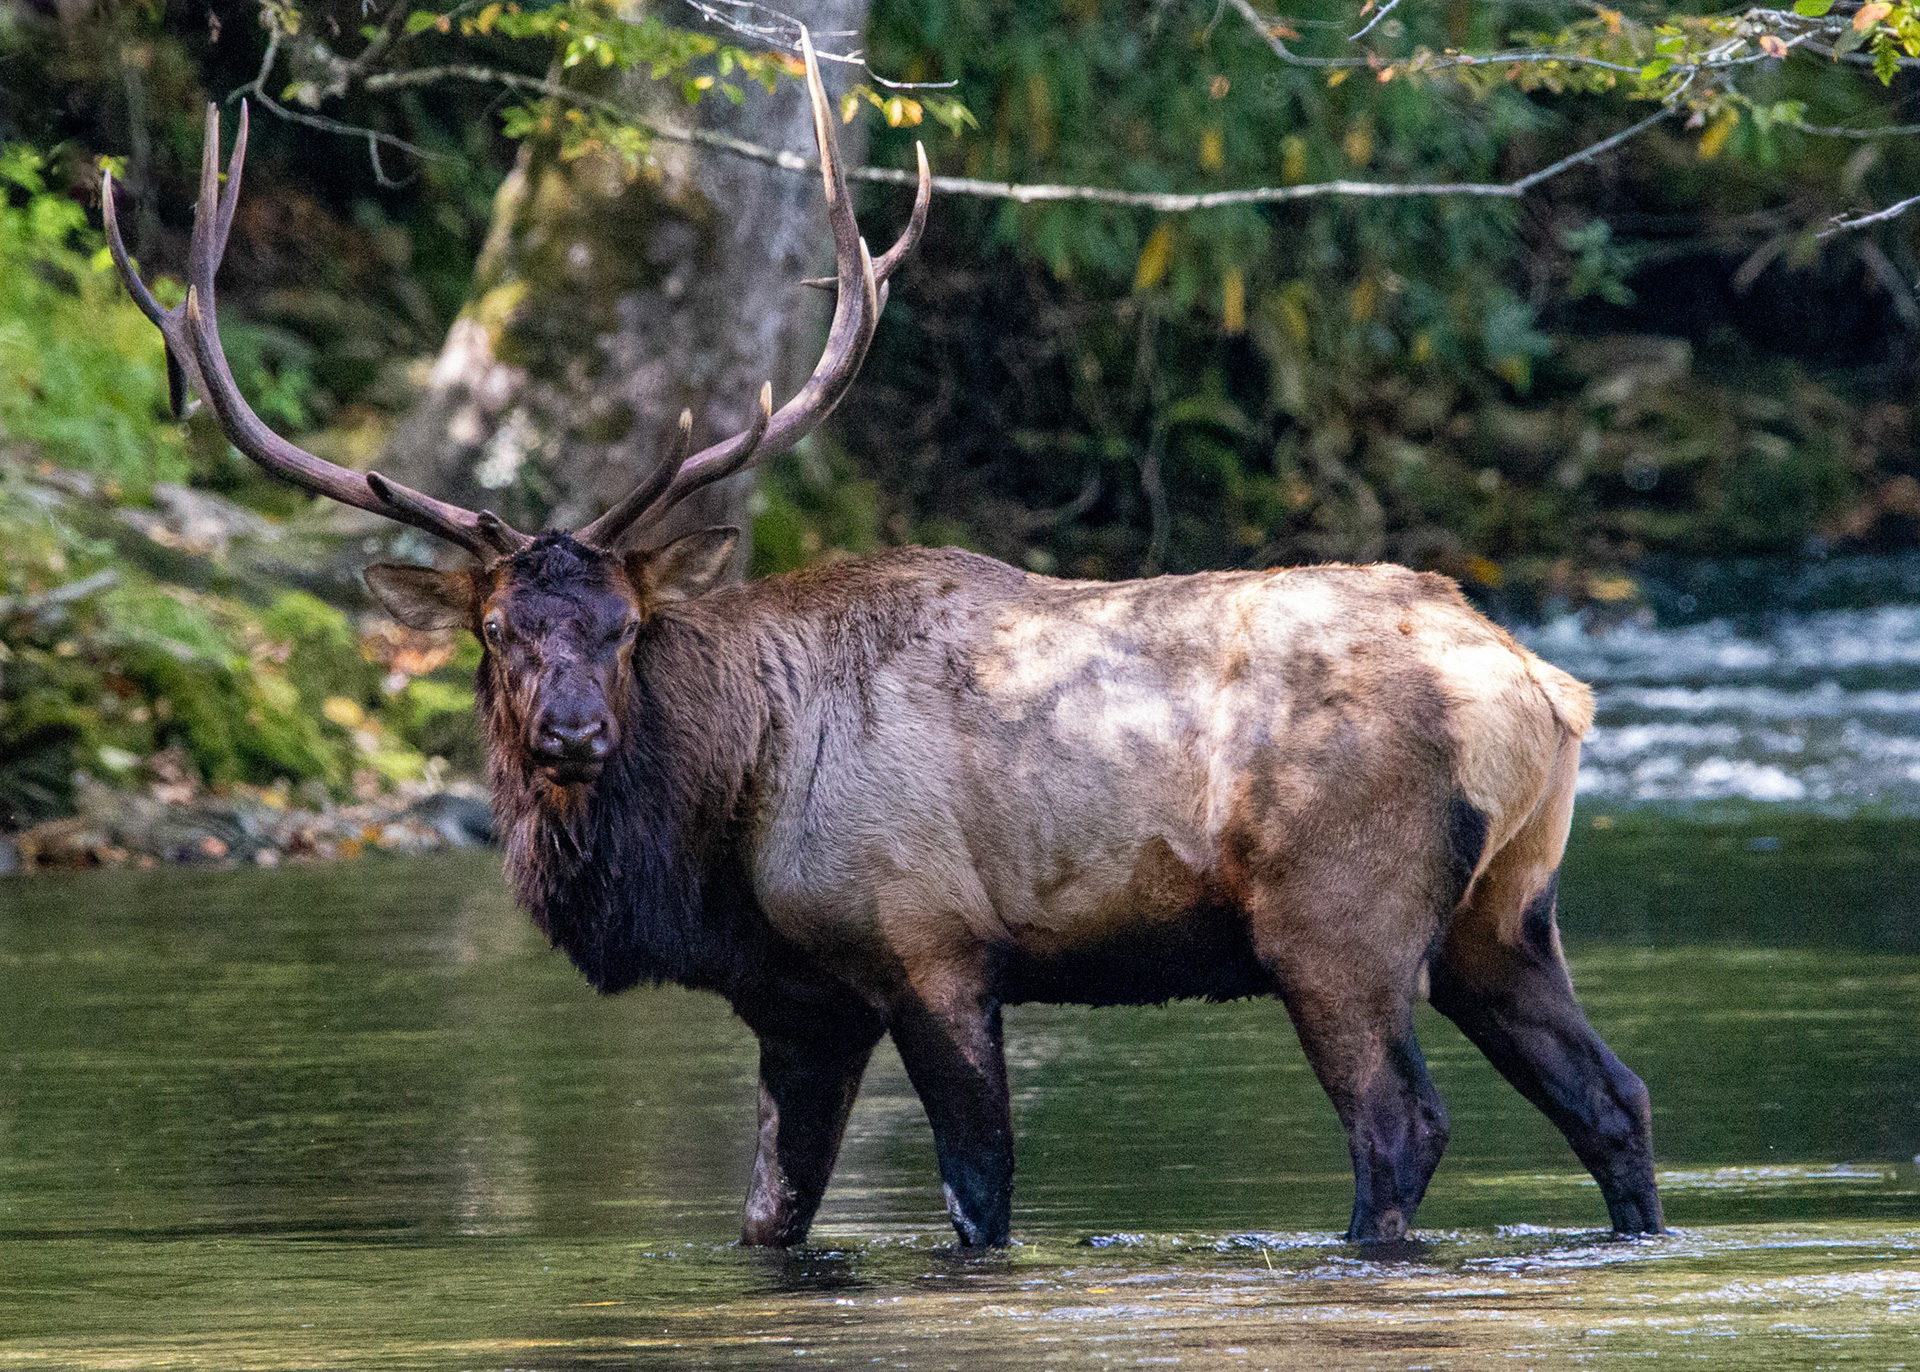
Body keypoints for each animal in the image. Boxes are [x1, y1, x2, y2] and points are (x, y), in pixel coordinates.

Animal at [103, 35, 1662, 1249]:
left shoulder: (930, 942)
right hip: (1506, 911)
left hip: (1338, 911)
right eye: (495, 627)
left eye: (626, 624)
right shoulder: (799, 1003)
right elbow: (769, 1216)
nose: (571, 731)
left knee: (1401, 1126)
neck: (717, 835)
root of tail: (1541, 684)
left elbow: (979, 1196)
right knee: (1615, 1099)